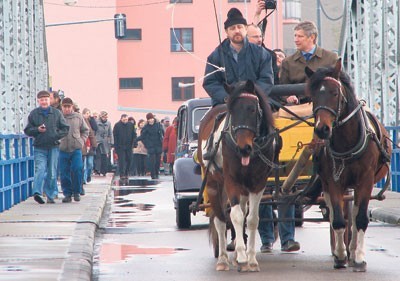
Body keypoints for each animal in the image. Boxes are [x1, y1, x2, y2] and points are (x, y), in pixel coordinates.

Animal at [196, 79, 276, 272]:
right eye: (232, 112)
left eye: (253, 109)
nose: (243, 148)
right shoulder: (231, 181)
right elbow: (236, 216)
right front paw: (241, 256)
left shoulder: (258, 184)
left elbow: (252, 219)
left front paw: (251, 259)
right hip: (214, 184)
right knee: (220, 219)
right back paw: (223, 259)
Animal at [306, 59, 390, 272]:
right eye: (312, 96)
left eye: (335, 93)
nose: (322, 129)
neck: (347, 142)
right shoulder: (333, 181)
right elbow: (337, 219)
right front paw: (340, 256)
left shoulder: (365, 181)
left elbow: (359, 218)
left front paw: (358, 258)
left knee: (353, 214)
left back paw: (353, 251)